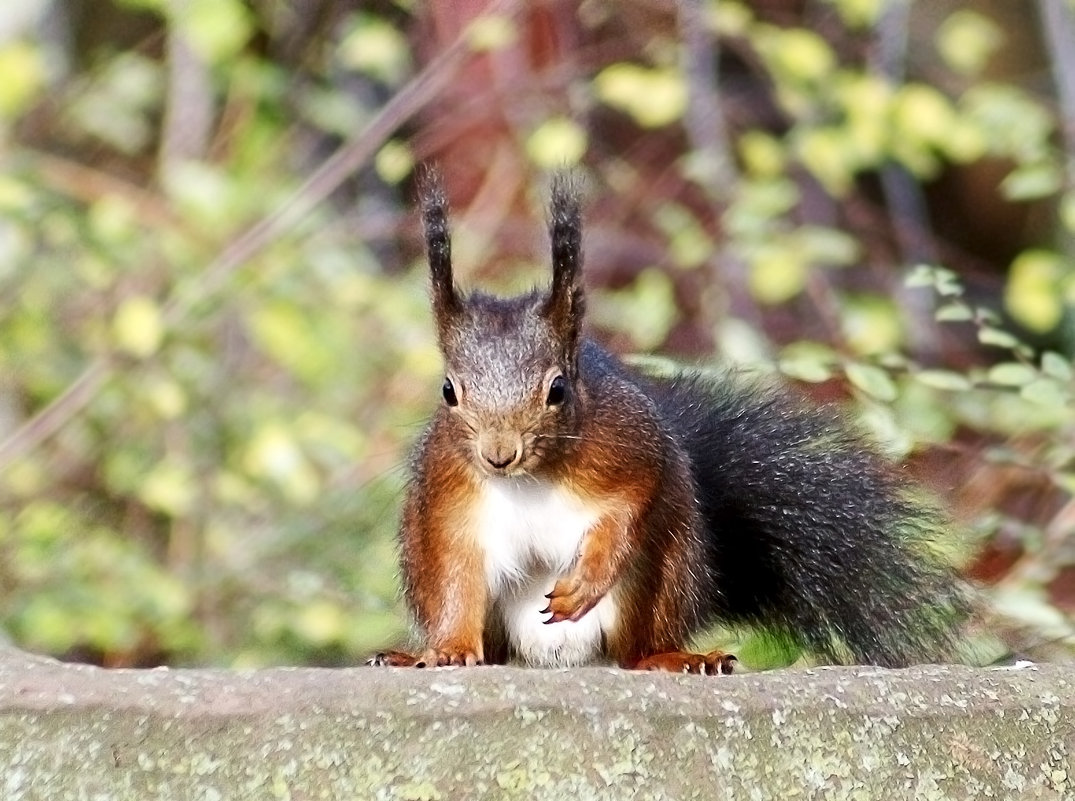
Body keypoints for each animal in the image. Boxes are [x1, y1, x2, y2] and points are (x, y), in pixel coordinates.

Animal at [369, 169, 967, 675]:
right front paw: (447, 651)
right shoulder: (450, 495)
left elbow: (630, 503)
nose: (499, 454)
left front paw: (585, 581)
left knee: (636, 649)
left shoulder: (630, 445)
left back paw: (676, 658)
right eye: (449, 391)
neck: (530, 477)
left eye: (558, 390)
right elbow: (455, 577)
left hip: (663, 573)